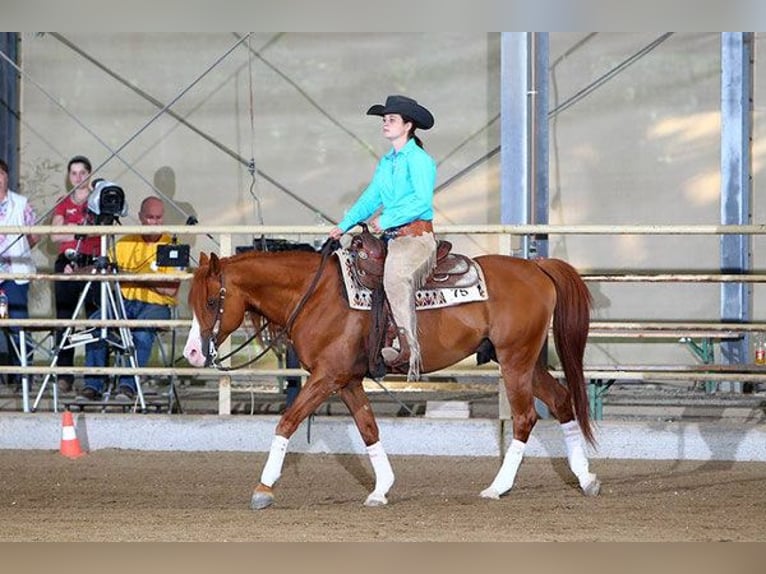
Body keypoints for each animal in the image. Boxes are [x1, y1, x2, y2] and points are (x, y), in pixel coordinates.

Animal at [183, 243, 600, 509]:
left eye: (211, 301)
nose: (191, 354)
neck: (315, 295)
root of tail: (537, 267)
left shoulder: (326, 376)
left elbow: (287, 422)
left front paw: (263, 489)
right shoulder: (347, 381)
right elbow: (369, 428)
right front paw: (381, 490)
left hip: (515, 361)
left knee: (525, 417)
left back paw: (498, 488)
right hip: (525, 362)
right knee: (562, 401)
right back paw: (585, 478)